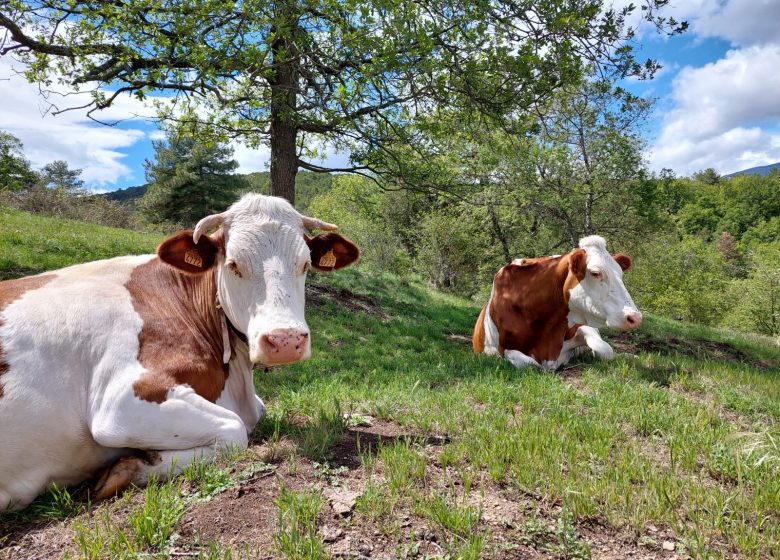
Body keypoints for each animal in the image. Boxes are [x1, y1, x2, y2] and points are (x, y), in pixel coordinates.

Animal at [0, 194, 360, 512]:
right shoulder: (121, 402)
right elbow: (234, 431)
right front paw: (131, 467)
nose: (285, 340)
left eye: (305, 264)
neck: (236, 383)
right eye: (233, 264)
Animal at [472, 235, 644, 370]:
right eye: (595, 273)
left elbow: (606, 350)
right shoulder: (502, 349)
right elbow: (531, 364)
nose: (635, 317)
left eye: (620, 273)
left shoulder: (582, 325)